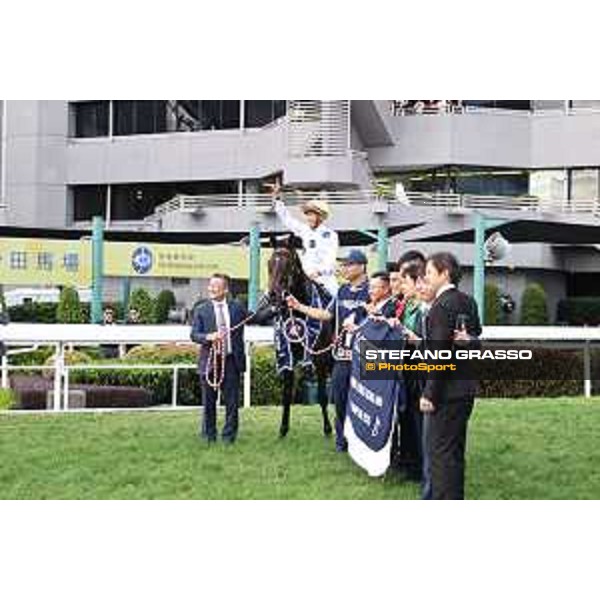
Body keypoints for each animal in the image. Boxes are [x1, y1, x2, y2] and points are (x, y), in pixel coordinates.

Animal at [266, 237, 336, 438]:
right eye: (269, 263)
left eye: (288, 264)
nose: (273, 295)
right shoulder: (287, 356)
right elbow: (286, 394)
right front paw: (283, 430)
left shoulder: (320, 359)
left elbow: (322, 395)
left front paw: (328, 429)